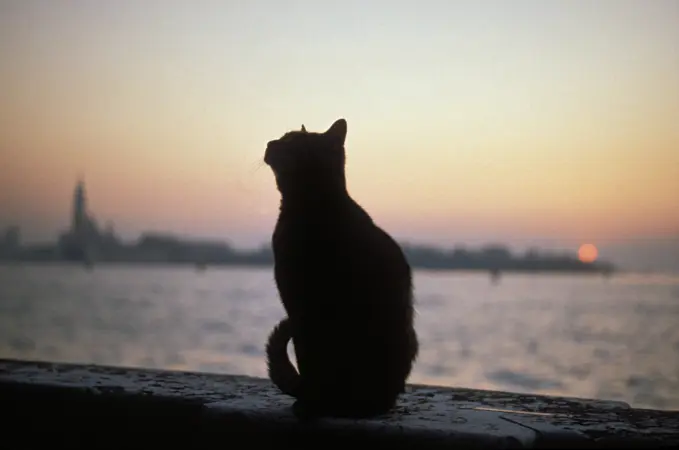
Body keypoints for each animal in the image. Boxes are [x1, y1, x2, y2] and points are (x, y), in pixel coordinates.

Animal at [262, 118, 418, 418]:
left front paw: (309, 406)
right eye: (283, 137)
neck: (315, 204)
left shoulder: (299, 303)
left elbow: (307, 356)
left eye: (290, 140)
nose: (269, 142)